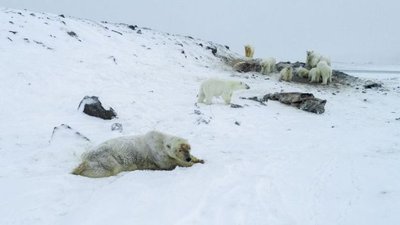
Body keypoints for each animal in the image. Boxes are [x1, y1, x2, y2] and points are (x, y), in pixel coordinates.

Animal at [70, 130, 205, 178]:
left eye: (189, 148)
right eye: (179, 150)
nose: (188, 158)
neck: (160, 141)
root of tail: (85, 155)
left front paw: (199, 159)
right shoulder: (158, 155)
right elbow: (170, 164)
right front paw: (190, 164)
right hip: (105, 157)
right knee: (106, 169)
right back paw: (78, 169)